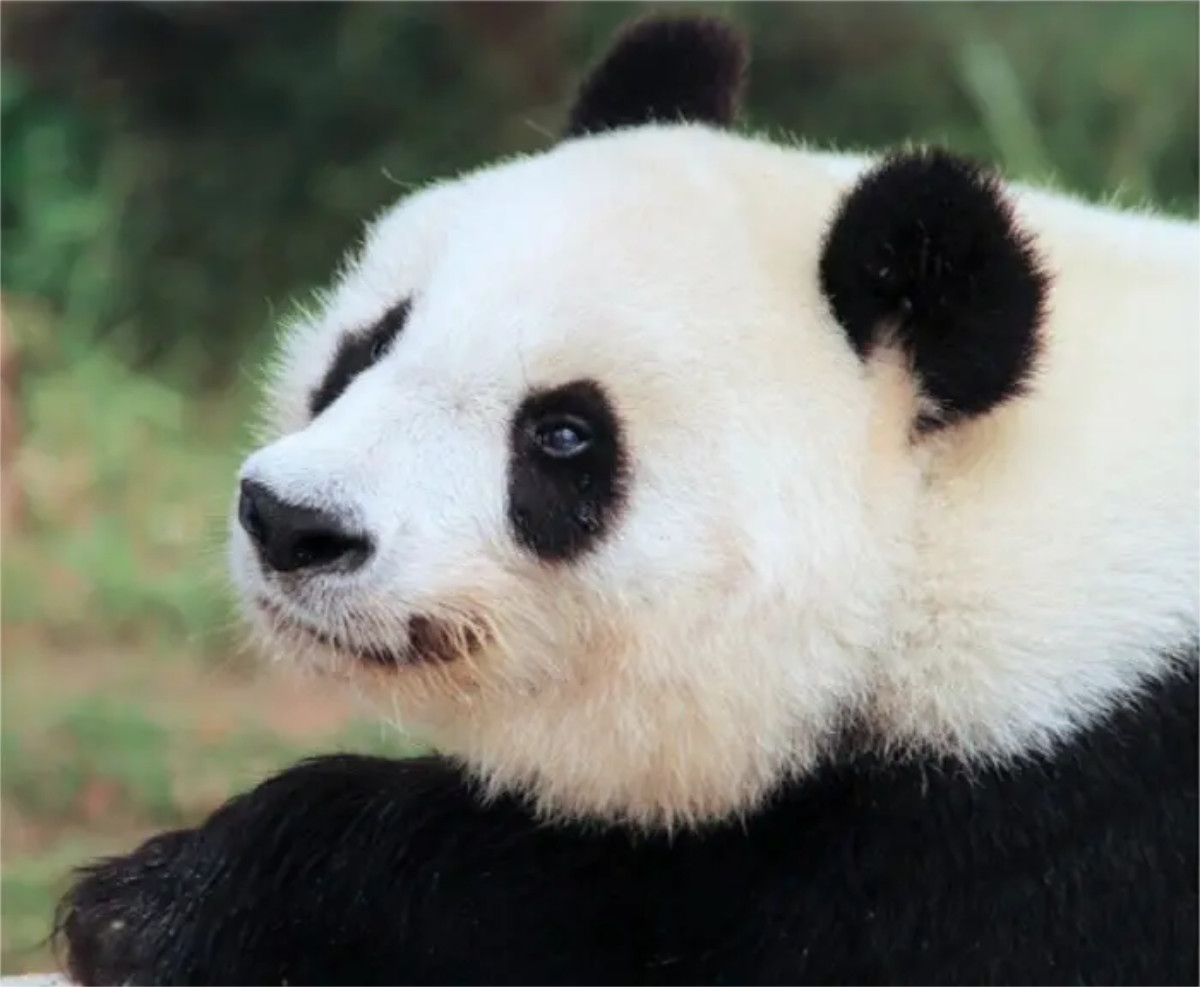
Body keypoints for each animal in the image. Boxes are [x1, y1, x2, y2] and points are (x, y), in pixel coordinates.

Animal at [51, 15, 1195, 987]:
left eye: (563, 435)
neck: (959, 516)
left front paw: (165, 906)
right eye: (366, 347)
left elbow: (626, 914)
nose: (294, 522)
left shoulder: (1059, 816)